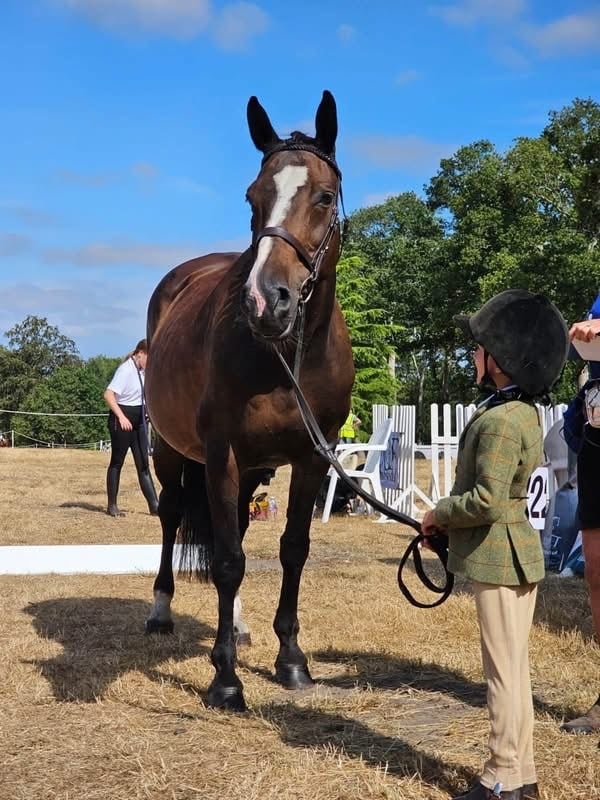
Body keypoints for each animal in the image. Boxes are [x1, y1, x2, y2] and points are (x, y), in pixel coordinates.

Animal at [144, 90, 354, 712]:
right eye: (252, 197)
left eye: (323, 196)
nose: (266, 301)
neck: (288, 357)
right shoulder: (221, 455)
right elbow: (229, 560)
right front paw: (225, 679)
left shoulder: (312, 459)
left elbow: (291, 550)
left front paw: (291, 660)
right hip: (172, 453)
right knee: (173, 517)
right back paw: (161, 612)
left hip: (255, 470)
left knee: (231, 530)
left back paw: (236, 627)